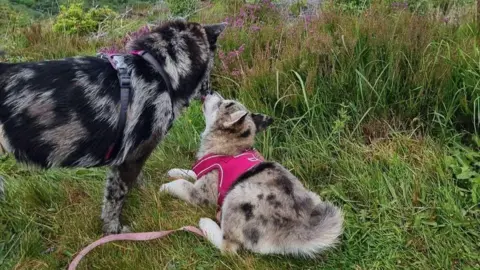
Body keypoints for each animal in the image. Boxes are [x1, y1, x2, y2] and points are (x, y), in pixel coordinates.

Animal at [0, 19, 227, 234]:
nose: (211, 92)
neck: (160, 71)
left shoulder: (128, 156)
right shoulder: (133, 156)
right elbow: (116, 198)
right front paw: (113, 231)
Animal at [163, 92, 344, 255]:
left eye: (222, 104)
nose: (207, 92)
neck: (230, 147)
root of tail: (296, 229)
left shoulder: (202, 194)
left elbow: (183, 184)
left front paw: (166, 186)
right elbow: (193, 173)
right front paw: (175, 171)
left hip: (236, 195)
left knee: (228, 248)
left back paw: (206, 224)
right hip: (314, 197)